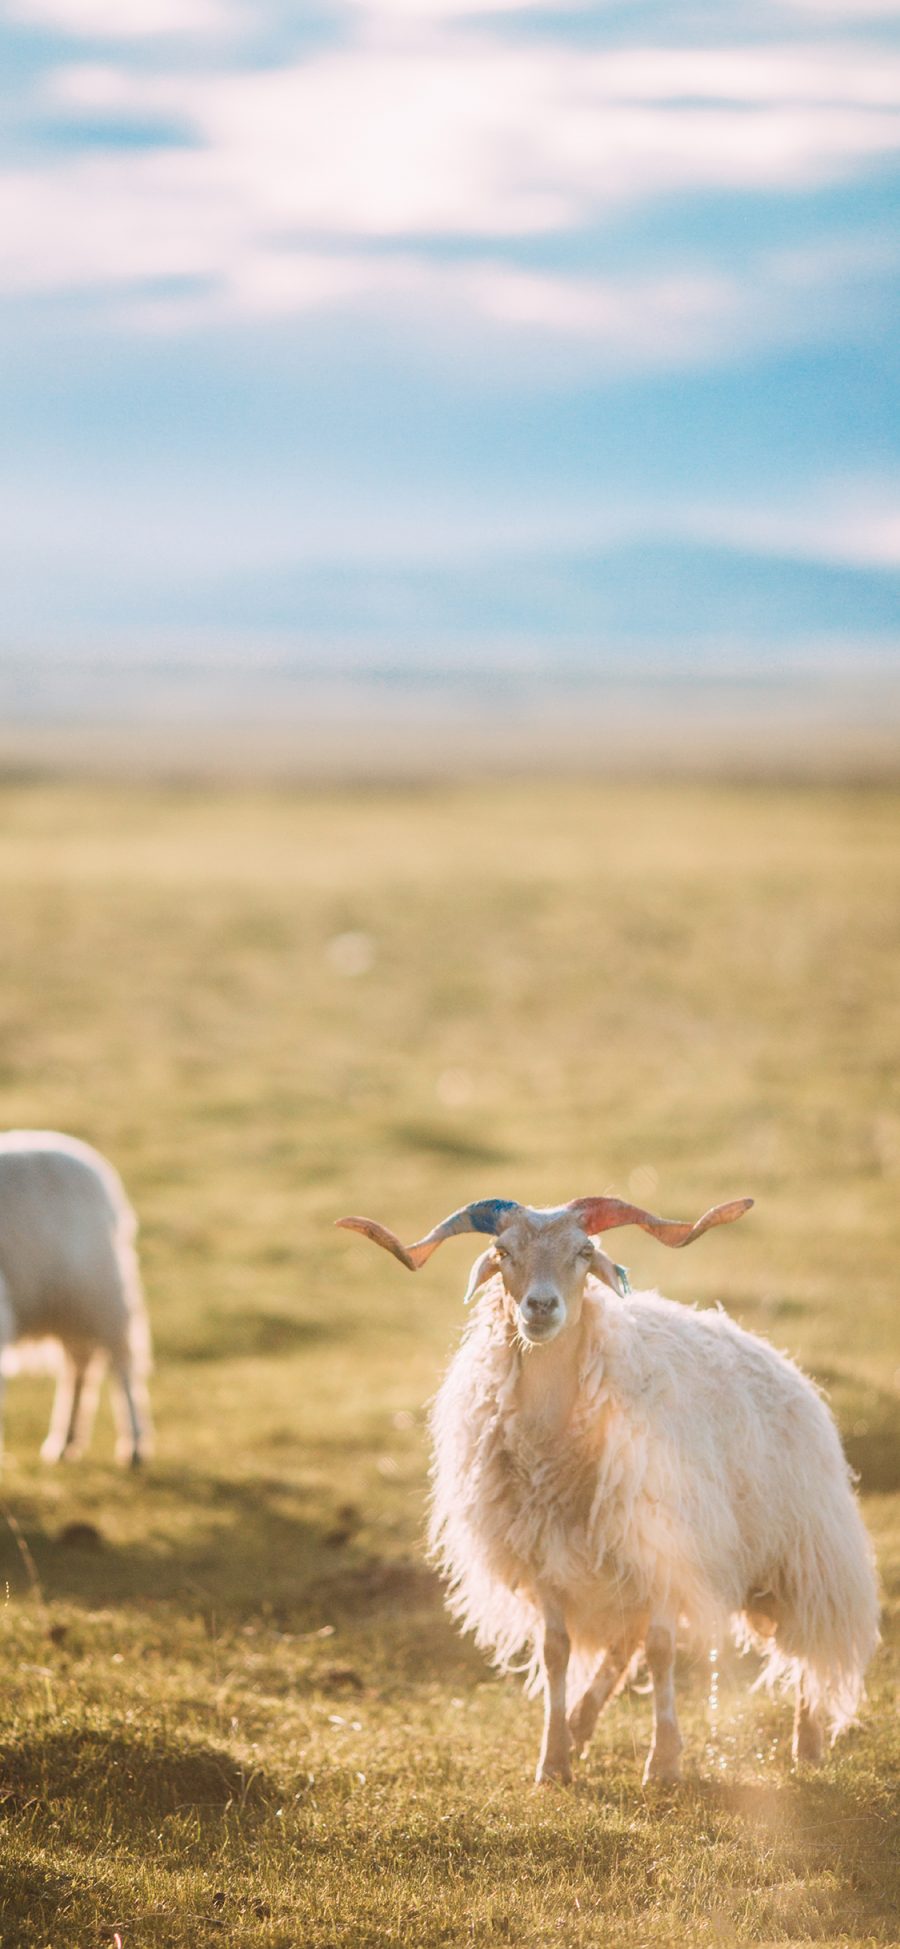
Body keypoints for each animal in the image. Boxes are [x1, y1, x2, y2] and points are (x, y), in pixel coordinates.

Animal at [0, 1130, 152, 1465]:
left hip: (99, 1292)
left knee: (120, 1365)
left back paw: (134, 1445)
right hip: (72, 1307)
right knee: (79, 1365)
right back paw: (65, 1442)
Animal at [337, 1177, 880, 1785]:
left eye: (583, 1252)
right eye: (503, 1253)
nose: (540, 1306)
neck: (553, 1438)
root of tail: (778, 1359)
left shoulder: (667, 1548)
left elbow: (663, 1648)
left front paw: (663, 1762)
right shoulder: (545, 1554)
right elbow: (557, 1651)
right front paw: (553, 1759)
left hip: (803, 1550)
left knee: (808, 1637)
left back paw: (807, 1741)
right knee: (624, 1644)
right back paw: (581, 1721)